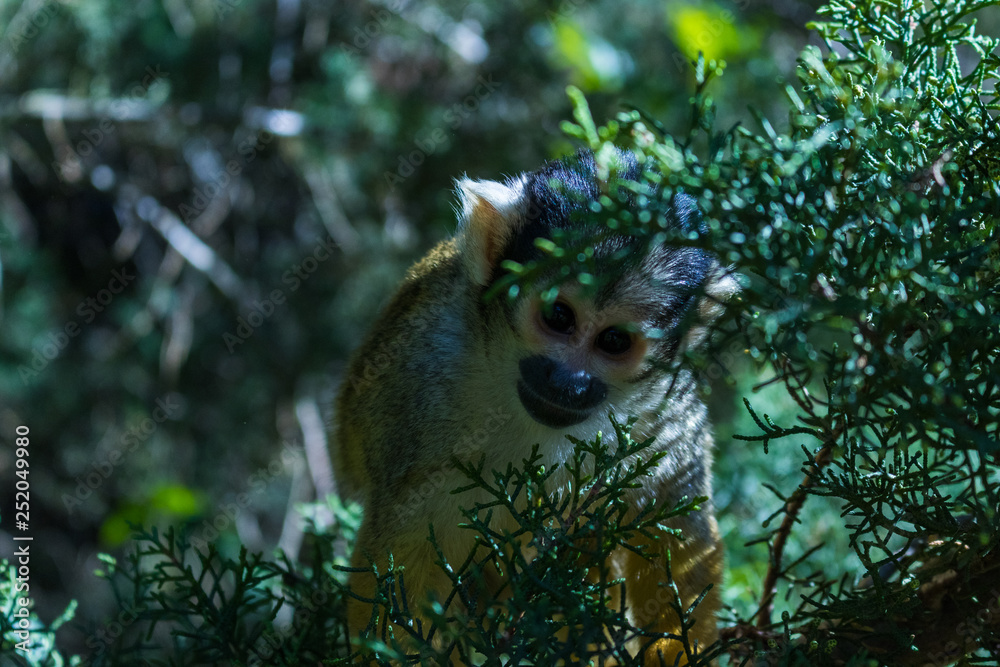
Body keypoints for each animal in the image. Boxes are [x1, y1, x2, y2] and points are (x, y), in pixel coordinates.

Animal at [334, 147, 738, 664]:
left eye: (614, 341)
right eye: (559, 316)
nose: (568, 382)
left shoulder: (663, 407)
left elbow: (678, 535)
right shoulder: (419, 380)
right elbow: (401, 555)